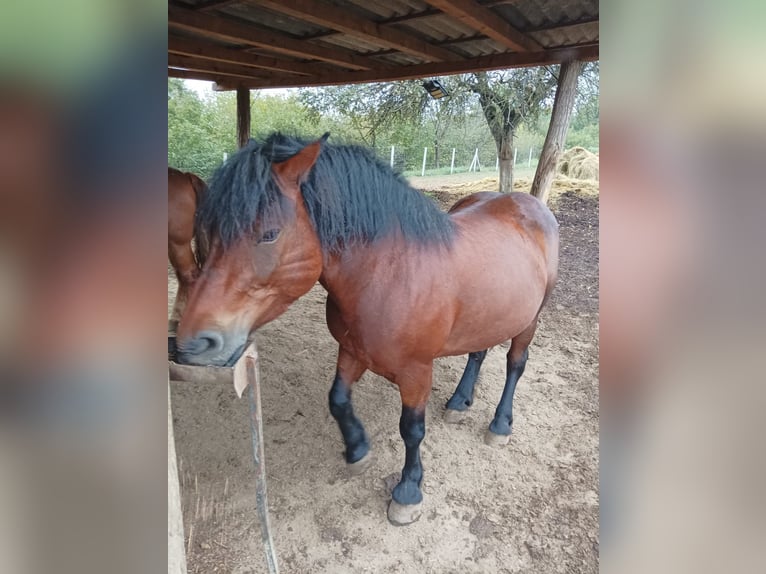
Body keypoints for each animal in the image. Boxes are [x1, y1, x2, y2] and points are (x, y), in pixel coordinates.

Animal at [174, 133, 559, 525]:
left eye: (268, 234)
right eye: (209, 232)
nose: (194, 341)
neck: (388, 274)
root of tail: (530, 204)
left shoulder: (417, 371)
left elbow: (412, 430)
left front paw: (408, 491)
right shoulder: (351, 351)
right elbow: (338, 400)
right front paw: (358, 448)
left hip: (530, 320)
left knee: (515, 364)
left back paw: (500, 424)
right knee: (478, 351)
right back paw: (459, 401)